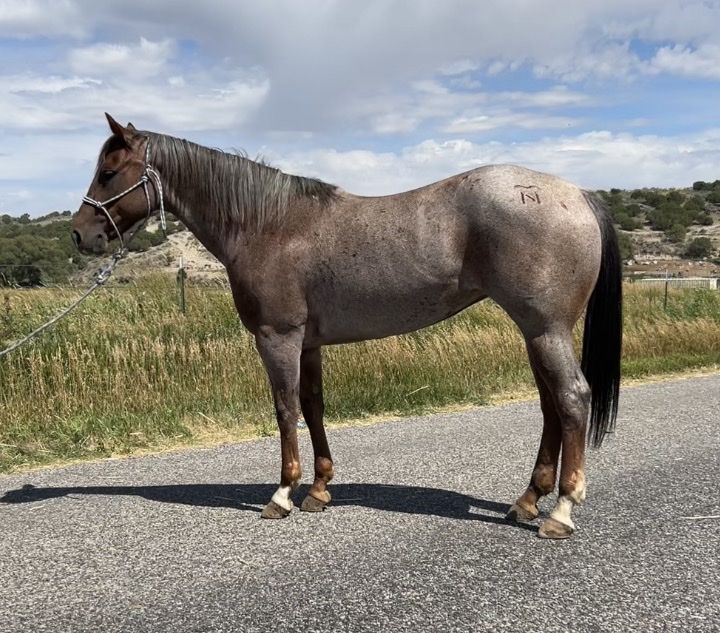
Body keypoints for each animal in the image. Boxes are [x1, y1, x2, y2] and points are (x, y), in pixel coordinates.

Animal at [72, 114, 622, 539]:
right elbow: (314, 408)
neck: (268, 225)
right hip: (536, 333)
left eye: (109, 172)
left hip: (546, 330)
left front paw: (282, 494)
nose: (80, 234)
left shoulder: (278, 338)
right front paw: (318, 489)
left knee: (572, 398)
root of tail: (577, 193)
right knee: (551, 405)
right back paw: (527, 500)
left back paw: (561, 511)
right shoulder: (309, 344)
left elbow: (286, 410)